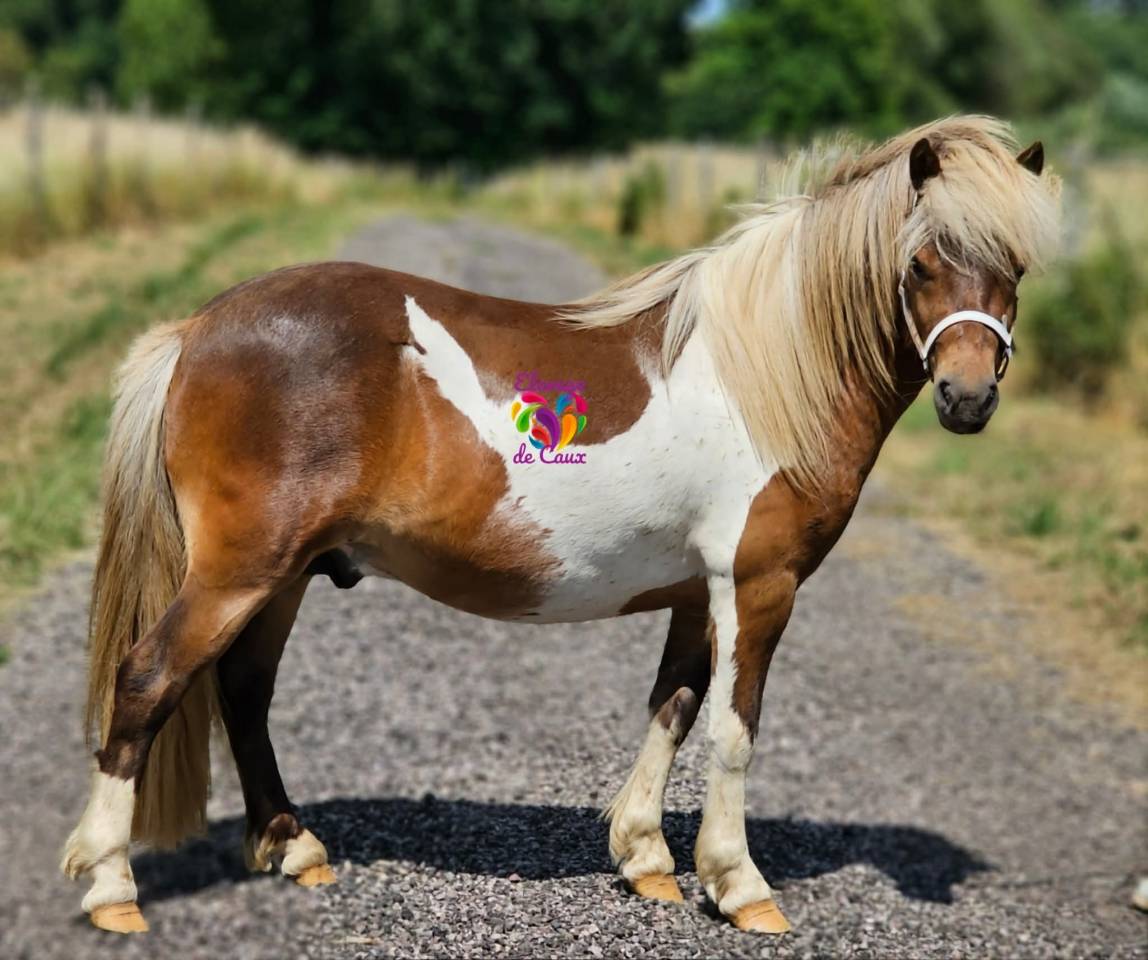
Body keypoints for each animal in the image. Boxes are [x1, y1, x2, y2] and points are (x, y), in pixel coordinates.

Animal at [61, 116, 1060, 936]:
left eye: (1015, 268)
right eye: (921, 262)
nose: (967, 398)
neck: (766, 372)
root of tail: (197, 329)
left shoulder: (696, 591)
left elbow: (673, 707)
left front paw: (648, 860)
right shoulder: (757, 584)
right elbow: (734, 730)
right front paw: (738, 886)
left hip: (283, 576)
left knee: (243, 693)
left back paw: (295, 848)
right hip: (238, 573)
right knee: (146, 683)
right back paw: (112, 888)